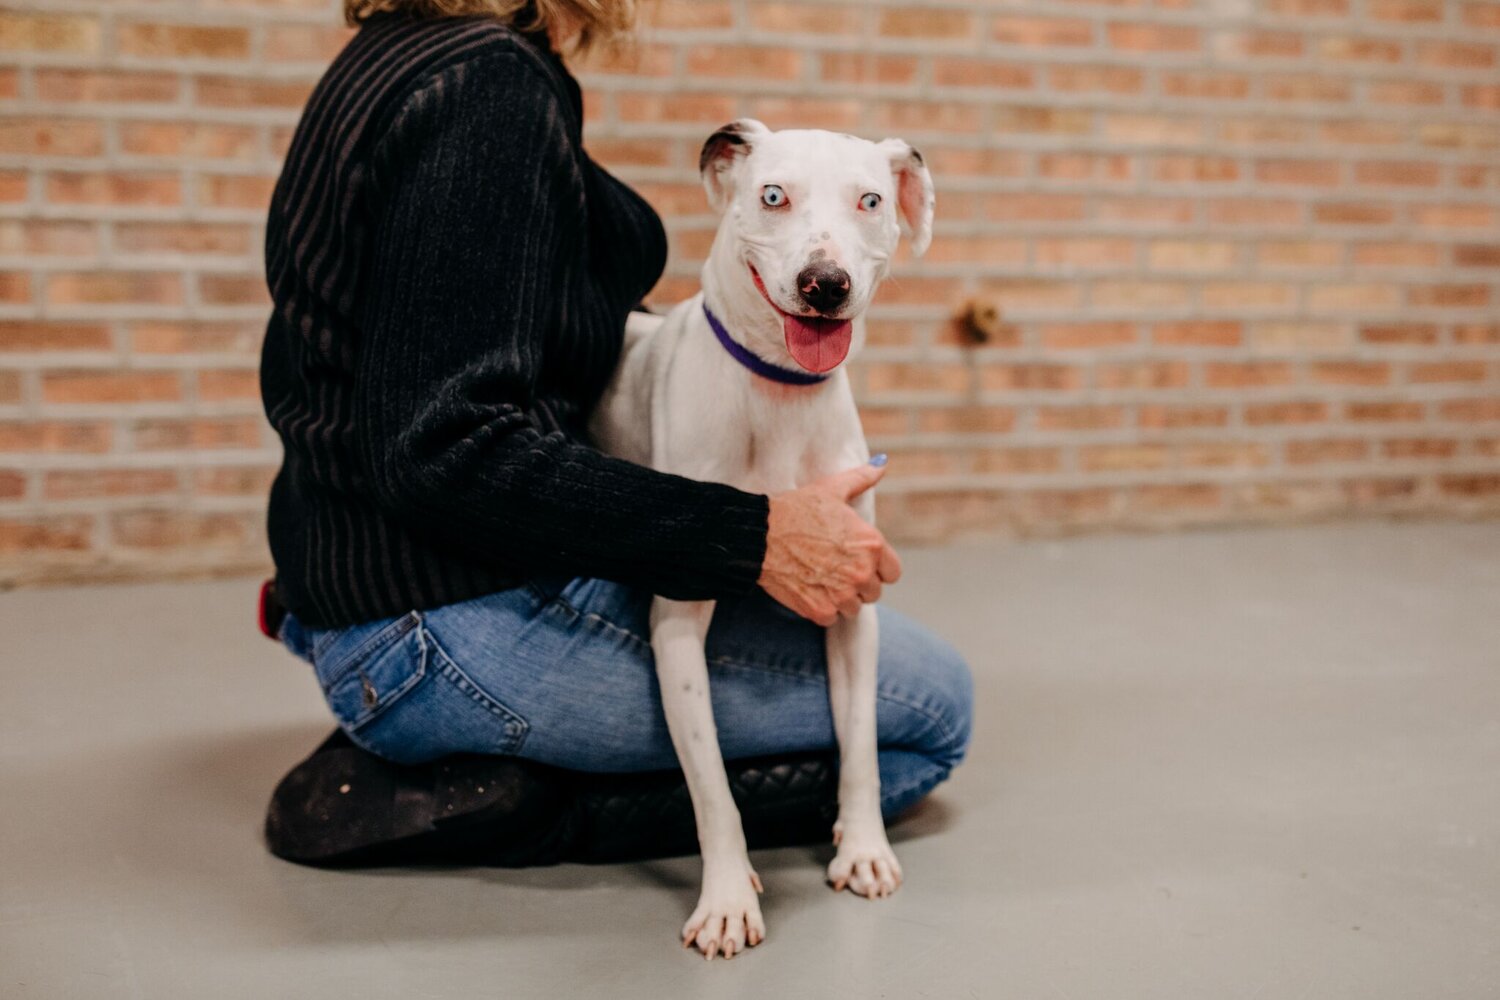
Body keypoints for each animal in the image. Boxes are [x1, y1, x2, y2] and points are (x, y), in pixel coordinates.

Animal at [588, 121, 930, 959]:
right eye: (773, 195)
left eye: (870, 201)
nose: (825, 283)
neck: (778, 392)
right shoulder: (677, 625)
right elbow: (712, 783)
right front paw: (725, 898)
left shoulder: (855, 607)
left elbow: (861, 744)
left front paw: (863, 848)